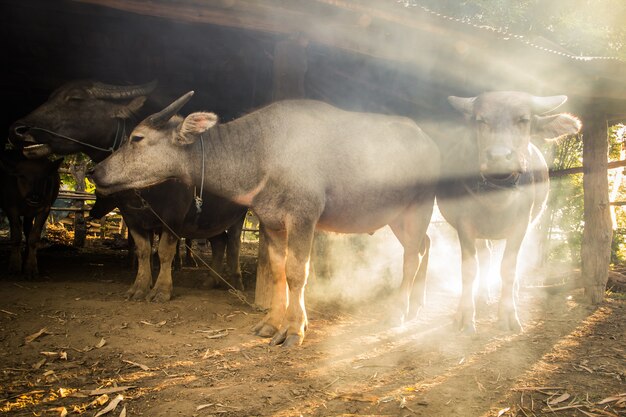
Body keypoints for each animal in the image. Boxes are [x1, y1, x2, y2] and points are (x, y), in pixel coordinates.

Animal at [7, 79, 246, 298]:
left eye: (75, 98)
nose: (18, 129)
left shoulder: (174, 216)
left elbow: (165, 251)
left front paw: (161, 290)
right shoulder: (131, 216)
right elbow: (143, 251)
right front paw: (139, 287)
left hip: (237, 215)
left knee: (233, 243)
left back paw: (236, 281)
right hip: (209, 220)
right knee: (220, 242)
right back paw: (211, 281)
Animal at [92, 92, 438, 346]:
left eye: (137, 138)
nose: (97, 171)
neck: (262, 152)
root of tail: (428, 143)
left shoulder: (303, 217)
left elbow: (297, 273)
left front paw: (295, 329)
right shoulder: (270, 222)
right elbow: (277, 271)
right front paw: (271, 324)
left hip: (419, 207)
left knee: (411, 256)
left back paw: (400, 311)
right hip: (397, 216)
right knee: (424, 245)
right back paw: (418, 304)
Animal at [434, 90, 580, 332]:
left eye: (523, 120)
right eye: (481, 120)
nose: (499, 157)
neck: (497, 196)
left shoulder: (521, 223)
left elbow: (508, 268)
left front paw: (508, 315)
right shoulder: (465, 224)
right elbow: (469, 269)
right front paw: (464, 316)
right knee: (485, 256)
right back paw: (482, 295)